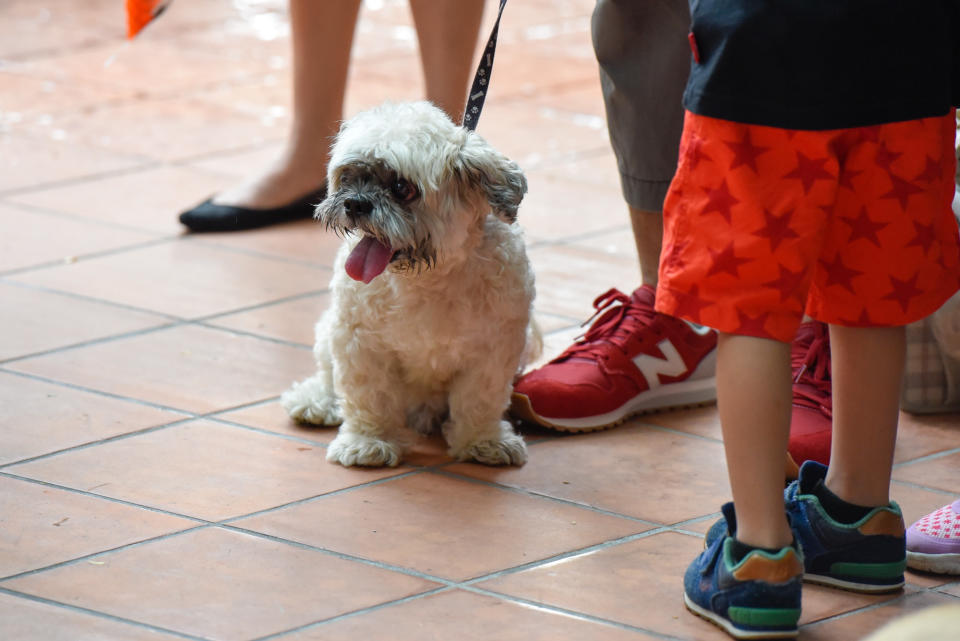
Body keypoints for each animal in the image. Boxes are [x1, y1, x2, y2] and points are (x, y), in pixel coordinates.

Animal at [284, 102, 540, 468]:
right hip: (328, 331)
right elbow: (368, 394)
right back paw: (317, 401)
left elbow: (480, 398)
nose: (355, 202)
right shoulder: (359, 341)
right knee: (328, 375)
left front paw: (482, 440)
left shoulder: (495, 350)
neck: (425, 280)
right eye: (349, 176)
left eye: (402, 187)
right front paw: (369, 441)